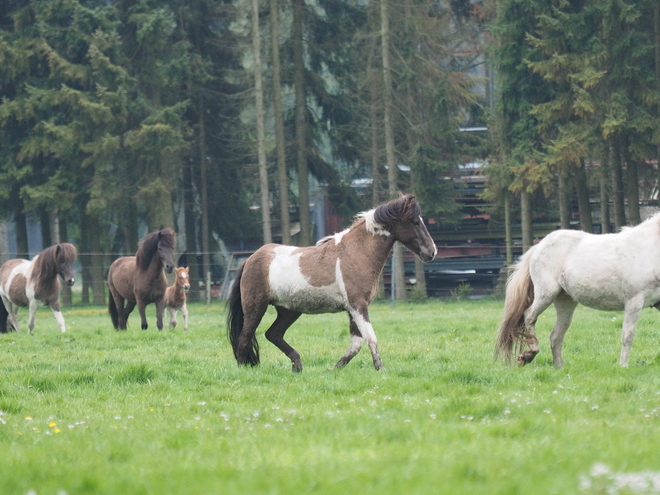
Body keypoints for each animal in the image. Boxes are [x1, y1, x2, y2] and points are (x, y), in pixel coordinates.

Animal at [227, 196, 438, 374]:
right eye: (415, 221)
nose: (432, 252)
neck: (357, 252)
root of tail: (250, 259)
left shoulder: (353, 310)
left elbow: (356, 344)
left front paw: (334, 368)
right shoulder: (358, 306)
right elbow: (371, 338)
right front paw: (381, 369)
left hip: (289, 310)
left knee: (273, 334)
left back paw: (297, 366)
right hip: (256, 307)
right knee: (244, 338)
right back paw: (243, 370)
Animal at [498, 215, 660, 370]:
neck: (650, 249)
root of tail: (539, 246)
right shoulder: (634, 301)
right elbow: (628, 336)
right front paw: (623, 366)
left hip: (565, 303)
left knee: (556, 336)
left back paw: (559, 367)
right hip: (546, 294)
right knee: (529, 316)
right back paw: (530, 354)